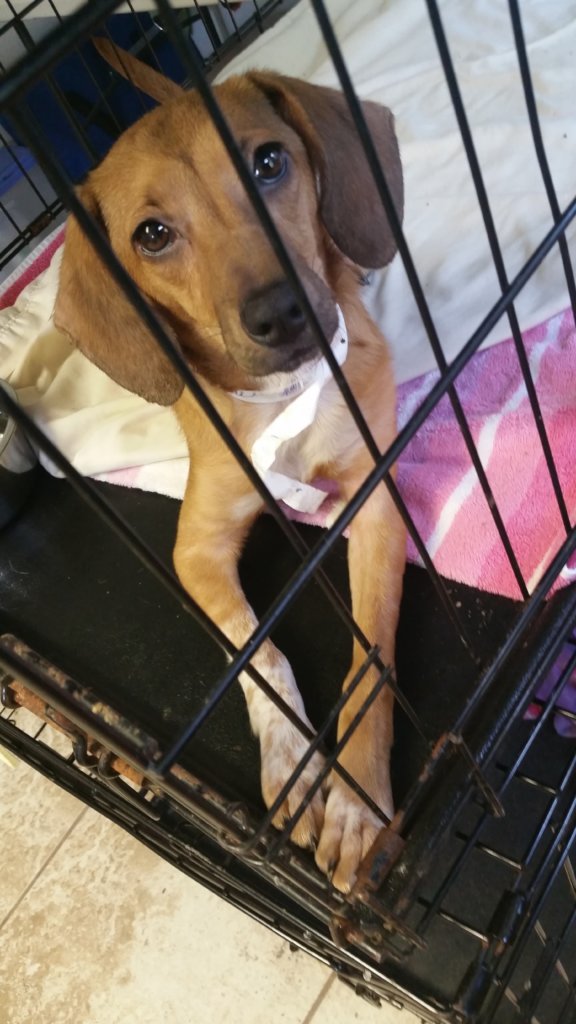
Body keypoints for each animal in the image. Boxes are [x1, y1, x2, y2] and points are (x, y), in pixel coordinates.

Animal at [52, 51, 403, 892]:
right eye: (152, 235)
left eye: (268, 161)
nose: (282, 312)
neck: (290, 399)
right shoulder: (196, 548)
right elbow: (259, 651)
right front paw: (296, 763)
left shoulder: (375, 504)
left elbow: (370, 661)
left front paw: (356, 802)